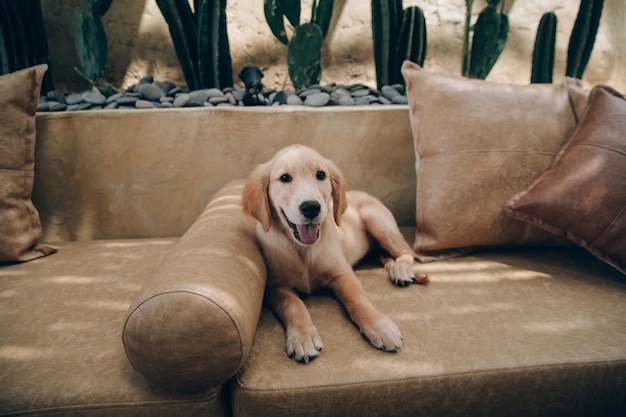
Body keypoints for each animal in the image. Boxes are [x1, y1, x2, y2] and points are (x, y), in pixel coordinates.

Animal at [241, 145, 426, 362]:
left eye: (320, 175)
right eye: (284, 178)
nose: (311, 207)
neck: (302, 248)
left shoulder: (342, 272)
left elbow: (357, 298)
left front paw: (380, 326)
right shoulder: (276, 286)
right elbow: (294, 304)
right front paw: (303, 337)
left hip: (377, 221)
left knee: (406, 250)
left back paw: (401, 270)